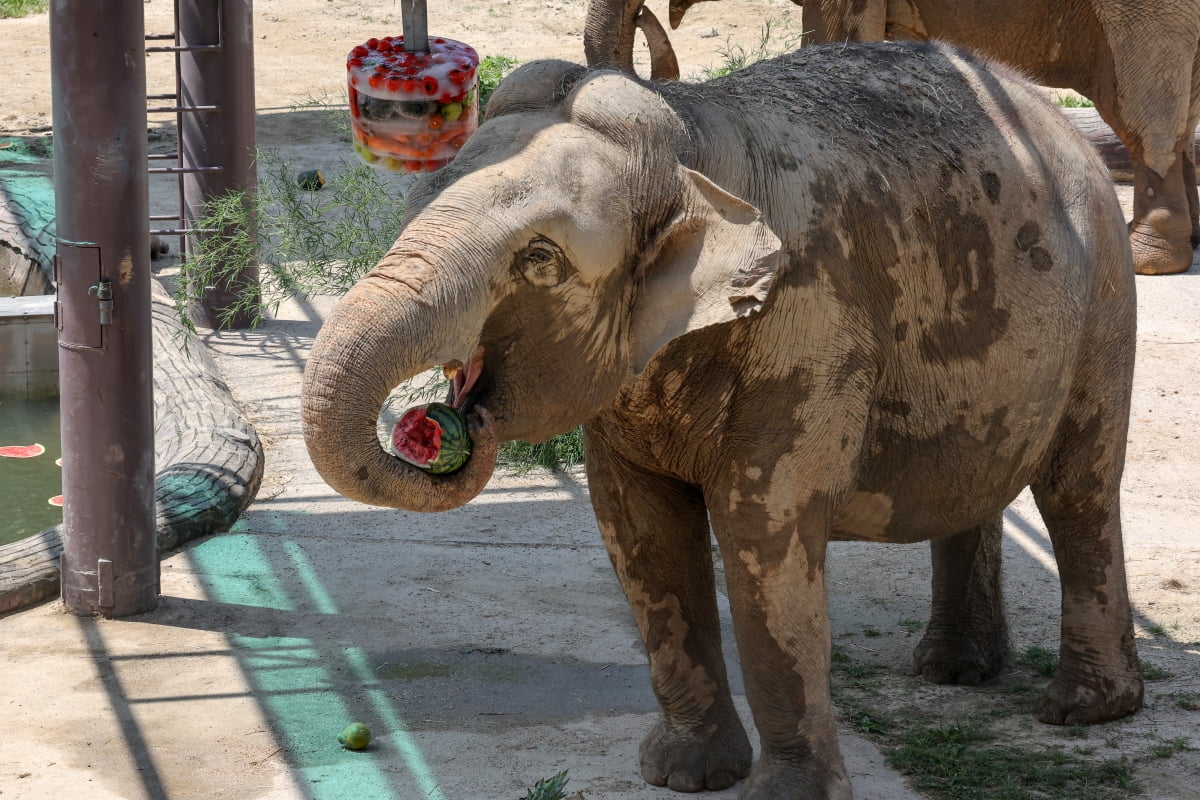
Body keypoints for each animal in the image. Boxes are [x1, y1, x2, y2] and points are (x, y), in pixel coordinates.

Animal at [302, 42, 1142, 800]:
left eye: (539, 257)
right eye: (417, 201)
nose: (448, 420)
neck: (689, 136)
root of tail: (1052, 111)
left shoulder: (808, 326)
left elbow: (761, 537)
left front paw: (783, 797)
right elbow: (639, 532)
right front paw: (683, 777)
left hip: (1104, 299)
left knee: (1079, 489)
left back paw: (1083, 710)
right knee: (975, 489)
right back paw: (954, 671)